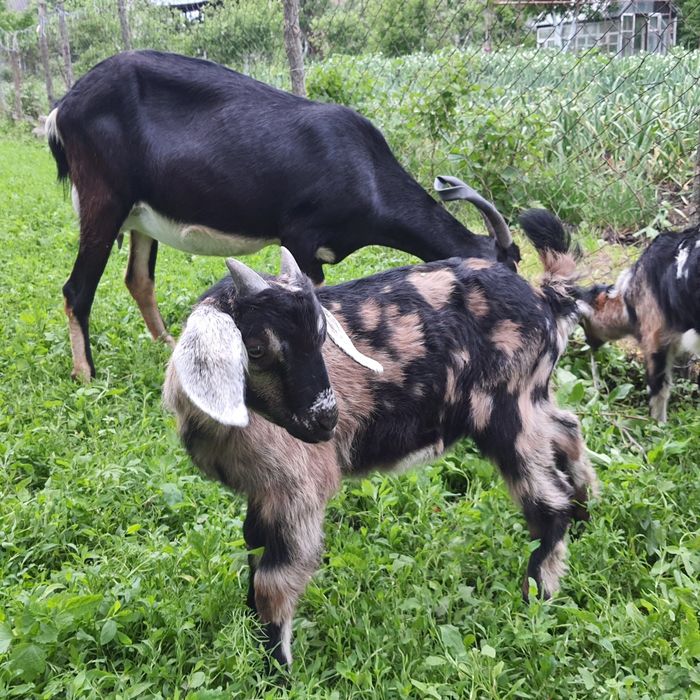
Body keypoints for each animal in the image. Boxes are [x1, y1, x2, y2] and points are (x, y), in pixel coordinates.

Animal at [45, 49, 519, 382]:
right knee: (77, 290)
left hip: (142, 215)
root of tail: (63, 107)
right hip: (104, 200)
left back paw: (167, 345)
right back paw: (86, 375)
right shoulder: (301, 238)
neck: (365, 168)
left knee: (139, 279)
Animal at [163, 208, 597, 669]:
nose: (326, 419)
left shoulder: (297, 490)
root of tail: (544, 298)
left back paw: (538, 598)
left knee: (548, 502)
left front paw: (275, 670)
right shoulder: (262, 491)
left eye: (321, 335)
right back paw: (585, 513)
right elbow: (251, 545)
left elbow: (273, 582)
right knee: (568, 429)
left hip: (507, 409)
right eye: (258, 348)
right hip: (533, 396)